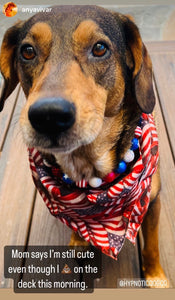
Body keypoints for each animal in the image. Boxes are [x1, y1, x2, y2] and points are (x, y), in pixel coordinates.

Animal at [0, 4, 167, 286]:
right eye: (27, 51)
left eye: (100, 48)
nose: (48, 115)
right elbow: (76, 223)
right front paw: (78, 241)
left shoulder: (151, 201)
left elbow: (152, 247)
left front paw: (156, 277)